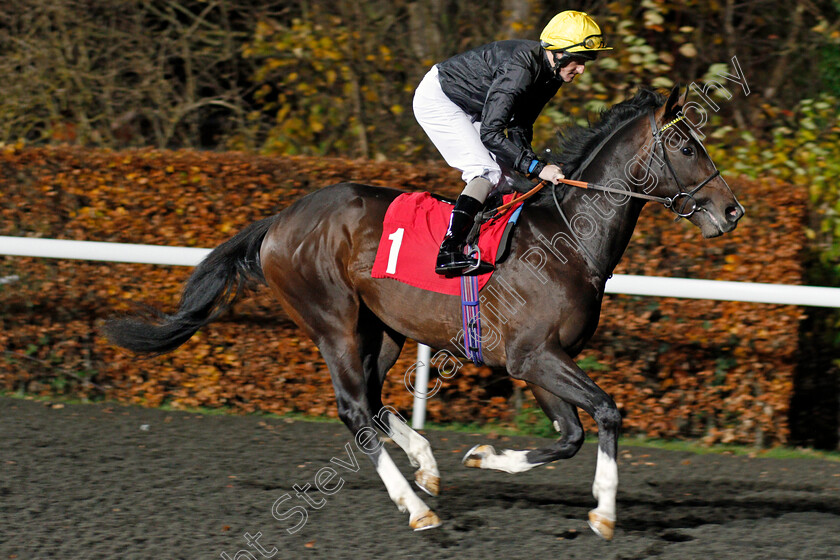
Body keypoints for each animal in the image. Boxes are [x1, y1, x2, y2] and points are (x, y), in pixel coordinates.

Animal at [103, 86, 740, 540]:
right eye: (687, 147)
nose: (731, 211)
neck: (569, 240)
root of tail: (280, 220)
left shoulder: (537, 360)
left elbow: (569, 435)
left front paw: (485, 457)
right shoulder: (534, 356)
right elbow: (606, 412)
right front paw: (604, 513)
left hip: (381, 329)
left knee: (374, 400)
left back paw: (425, 465)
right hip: (333, 323)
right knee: (354, 411)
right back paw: (415, 507)